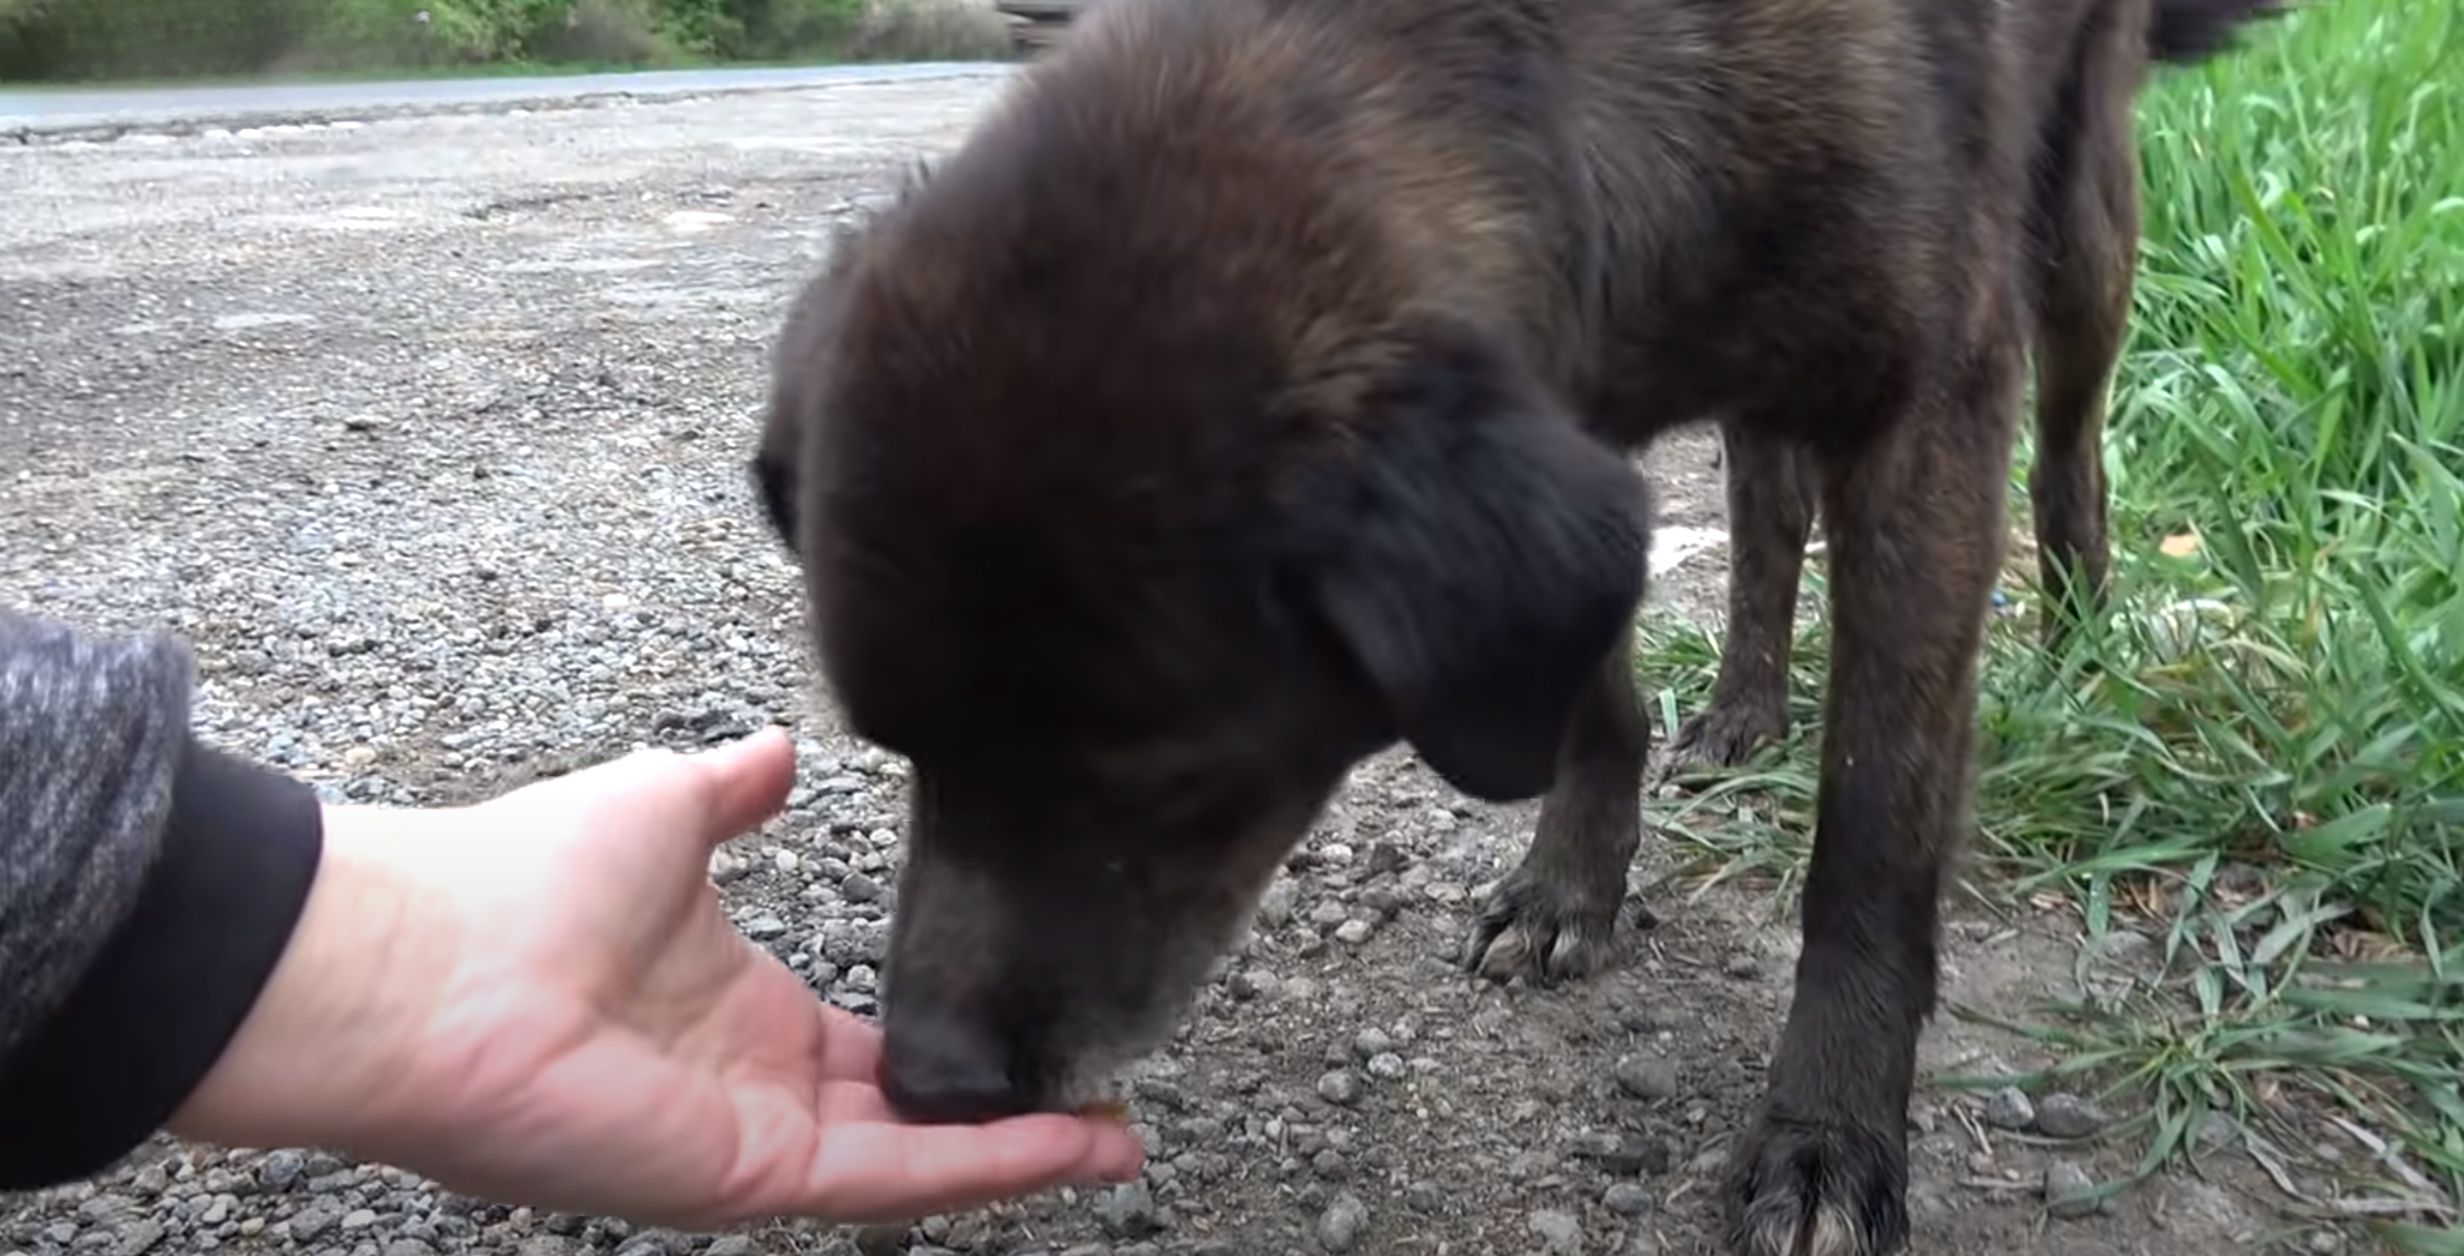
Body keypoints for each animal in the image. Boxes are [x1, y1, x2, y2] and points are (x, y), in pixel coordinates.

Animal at [744, 0, 2266, 1251]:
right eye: (899, 749)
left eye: (1153, 777)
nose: (924, 1081)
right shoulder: (1568, 424)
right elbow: (1595, 694)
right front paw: (1565, 887)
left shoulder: (1925, 412)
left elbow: (1875, 822)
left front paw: (1829, 1132)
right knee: (1769, 504)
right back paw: (1746, 704)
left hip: (2078, 232)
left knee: (2072, 446)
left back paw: (2077, 634)